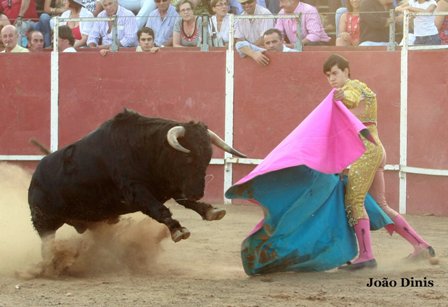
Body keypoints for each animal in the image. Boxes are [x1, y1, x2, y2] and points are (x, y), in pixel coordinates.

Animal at [28, 109, 245, 244]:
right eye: (188, 158)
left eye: (207, 158)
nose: (197, 193)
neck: (145, 149)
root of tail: (35, 176)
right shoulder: (136, 191)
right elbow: (159, 209)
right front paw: (178, 230)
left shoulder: (169, 185)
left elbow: (184, 202)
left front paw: (211, 210)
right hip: (43, 221)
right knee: (47, 242)